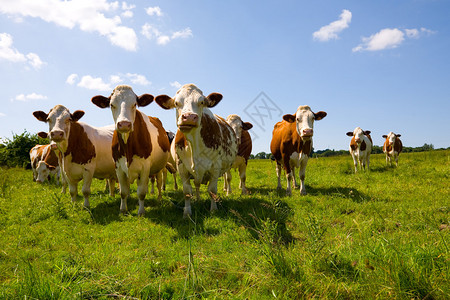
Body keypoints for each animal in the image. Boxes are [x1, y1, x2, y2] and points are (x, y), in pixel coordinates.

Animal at [91, 84, 171, 216]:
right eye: (111, 104)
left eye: (134, 104)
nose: (124, 124)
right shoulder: (118, 166)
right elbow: (123, 191)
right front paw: (123, 209)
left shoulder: (145, 167)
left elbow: (141, 192)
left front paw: (141, 212)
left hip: (160, 167)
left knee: (159, 182)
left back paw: (159, 198)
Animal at [155, 83, 237, 217]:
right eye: (176, 103)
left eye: (202, 102)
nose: (189, 117)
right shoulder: (181, 167)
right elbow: (187, 191)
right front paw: (187, 212)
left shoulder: (216, 166)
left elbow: (212, 190)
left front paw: (213, 209)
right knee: (197, 185)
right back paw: (197, 199)